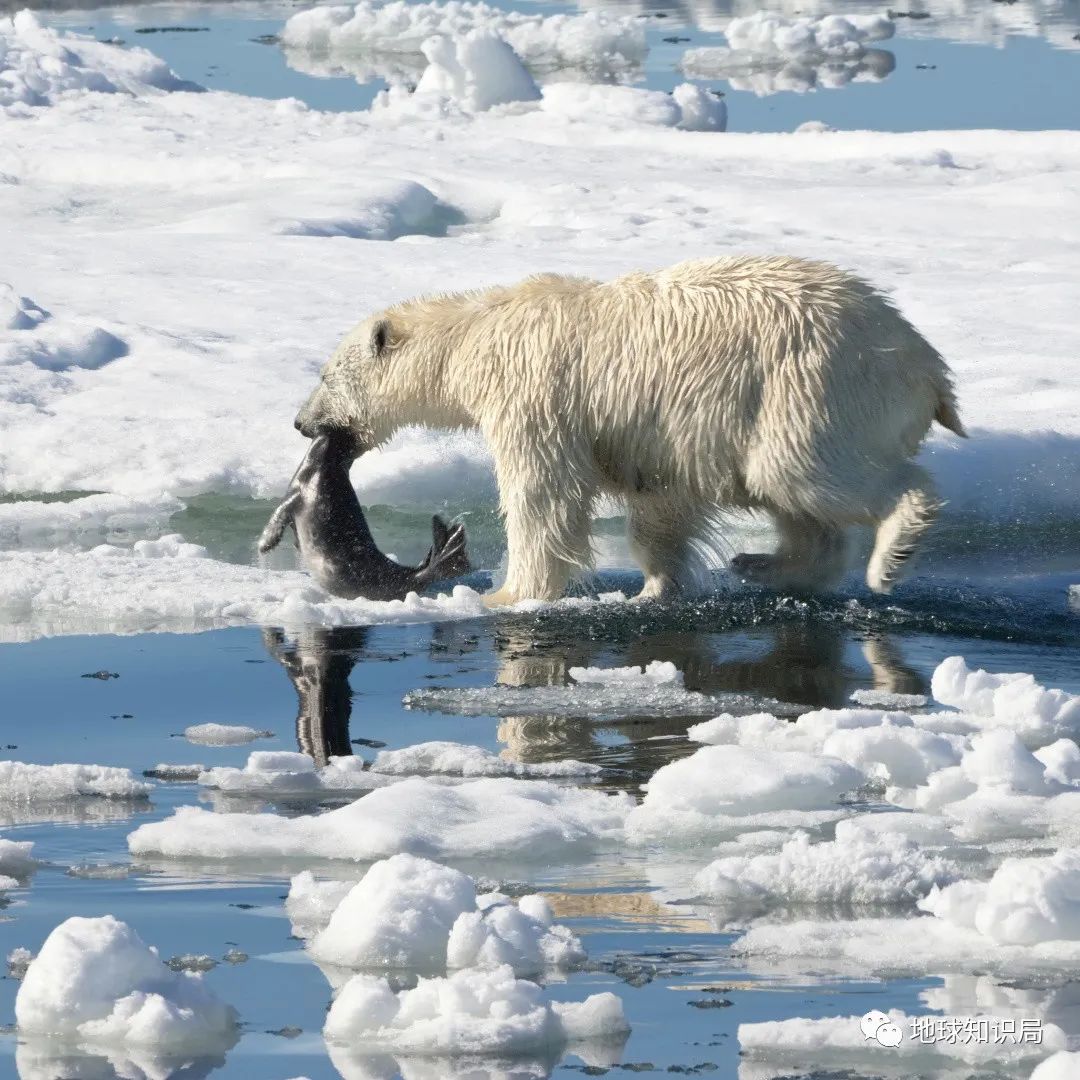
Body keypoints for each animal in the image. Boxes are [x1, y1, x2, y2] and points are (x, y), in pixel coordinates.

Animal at [293, 257, 963, 604]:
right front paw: (656, 587)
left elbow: (544, 495)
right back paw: (763, 565)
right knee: (793, 499)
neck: (478, 335)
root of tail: (926, 366)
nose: (302, 422)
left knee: (810, 472)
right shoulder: (659, 433)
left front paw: (506, 594)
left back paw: (890, 556)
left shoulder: (535, 393)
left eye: (324, 374)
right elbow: (661, 503)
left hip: (811, 388)